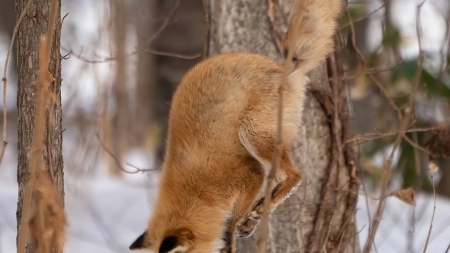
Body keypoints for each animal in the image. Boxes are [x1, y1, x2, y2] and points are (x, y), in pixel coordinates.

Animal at [129, 0, 342, 252]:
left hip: (251, 134)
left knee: (295, 176)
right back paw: (256, 215)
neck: (195, 192)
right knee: (279, 180)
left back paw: (260, 208)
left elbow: (229, 227)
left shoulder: (249, 177)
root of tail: (282, 67)